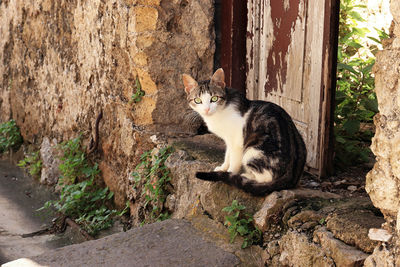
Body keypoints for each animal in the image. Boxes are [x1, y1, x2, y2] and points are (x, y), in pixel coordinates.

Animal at [181, 68, 306, 196]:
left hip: (253, 151)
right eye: (198, 100)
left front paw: (229, 173)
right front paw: (223, 168)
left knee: (265, 178)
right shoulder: (229, 139)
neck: (222, 110)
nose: (206, 109)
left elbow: (234, 160)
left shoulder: (237, 140)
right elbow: (228, 155)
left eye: (214, 98)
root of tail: (292, 177)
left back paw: (246, 176)